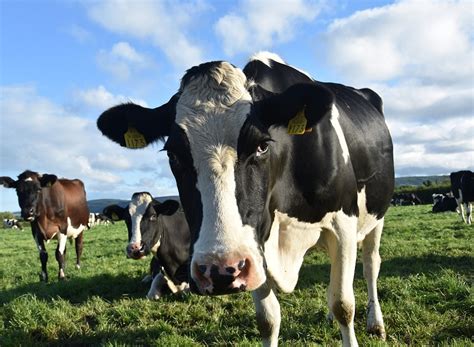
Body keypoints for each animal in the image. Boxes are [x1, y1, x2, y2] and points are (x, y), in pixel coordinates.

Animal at [96, 52, 392, 347]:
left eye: (261, 145)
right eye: (173, 154)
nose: (218, 270)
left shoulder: (343, 223)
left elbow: (343, 305)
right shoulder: (255, 243)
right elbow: (268, 319)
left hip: (376, 218)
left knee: (370, 264)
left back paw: (376, 322)